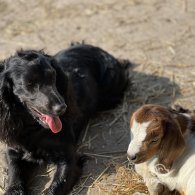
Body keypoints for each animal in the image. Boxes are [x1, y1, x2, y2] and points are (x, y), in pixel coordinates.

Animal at [0, 43, 129, 194]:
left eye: (53, 77)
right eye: (29, 84)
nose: (62, 108)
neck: (34, 129)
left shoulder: (68, 159)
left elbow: (56, 186)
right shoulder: (13, 151)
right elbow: (14, 175)